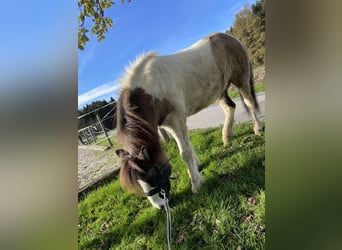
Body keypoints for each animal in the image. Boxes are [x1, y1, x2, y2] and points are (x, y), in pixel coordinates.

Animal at [115, 32, 262, 209]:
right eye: (139, 181)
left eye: (153, 176)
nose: (161, 206)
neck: (151, 89)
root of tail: (230, 37)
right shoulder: (169, 124)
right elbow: (189, 147)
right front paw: (197, 166)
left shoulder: (176, 120)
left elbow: (184, 153)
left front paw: (196, 183)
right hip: (218, 91)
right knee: (230, 108)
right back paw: (226, 137)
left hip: (241, 79)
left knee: (249, 103)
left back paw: (258, 129)